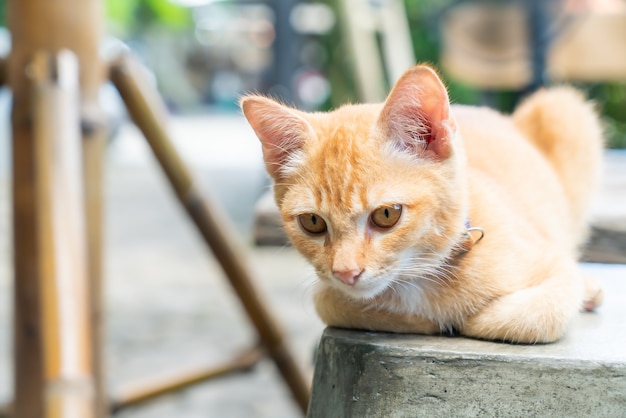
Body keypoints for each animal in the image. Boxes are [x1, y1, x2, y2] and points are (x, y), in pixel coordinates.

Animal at [239, 66, 600, 342]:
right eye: (312, 223)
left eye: (387, 214)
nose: (346, 273)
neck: (420, 278)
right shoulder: (326, 291)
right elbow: (332, 302)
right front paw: (423, 320)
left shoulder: (554, 263)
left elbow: (539, 313)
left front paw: (473, 319)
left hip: (563, 109)